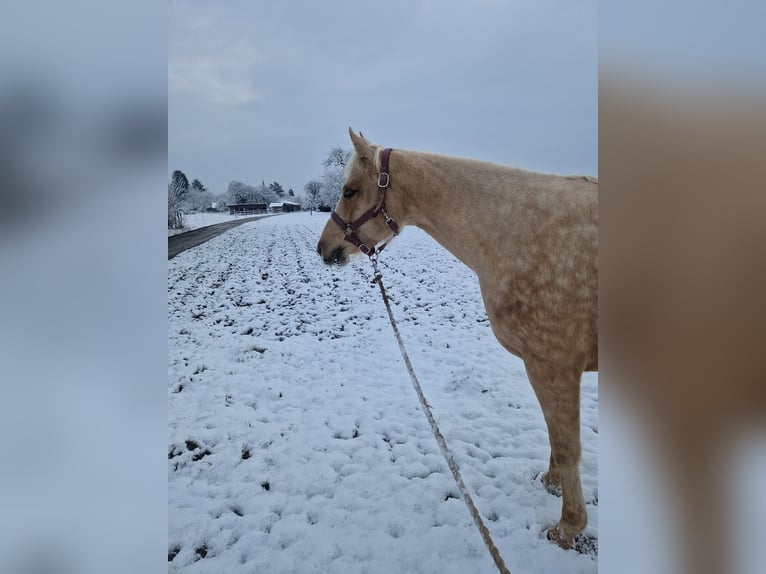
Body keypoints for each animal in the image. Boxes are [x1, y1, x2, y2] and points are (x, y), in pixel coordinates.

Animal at [316, 129, 598, 550]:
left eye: (350, 190)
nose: (324, 248)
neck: (517, 230)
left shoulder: (553, 366)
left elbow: (567, 447)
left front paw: (567, 528)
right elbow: (555, 435)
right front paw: (551, 483)